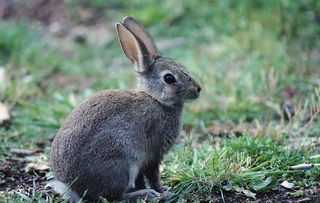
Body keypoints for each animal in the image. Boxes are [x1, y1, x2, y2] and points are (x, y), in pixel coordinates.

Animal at [48, 16, 201, 202]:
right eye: (169, 78)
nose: (198, 89)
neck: (157, 100)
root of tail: (74, 189)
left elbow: (142, 178)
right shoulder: (153, 154)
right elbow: (153, 175)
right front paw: (163, 191)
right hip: (122, 162)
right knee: (116, 196)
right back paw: (146, 194)